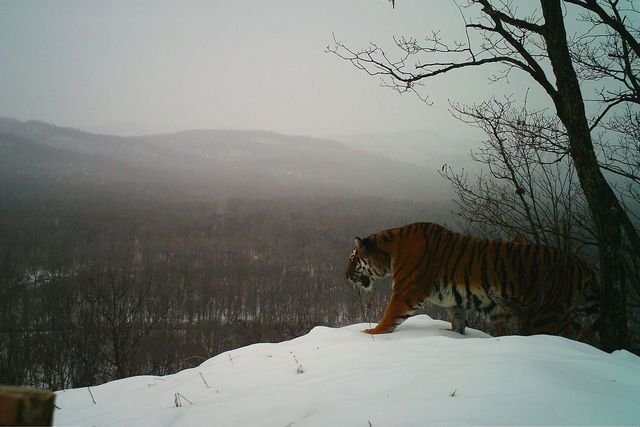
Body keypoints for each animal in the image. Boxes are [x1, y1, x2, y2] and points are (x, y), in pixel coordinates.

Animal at [344, 222, 600, 342]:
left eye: (353, 259)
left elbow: (390, 315)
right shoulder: (453, 301)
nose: (345, 276)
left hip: (546, 312)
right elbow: (458, 322)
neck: (390, 253)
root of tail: (582, 263)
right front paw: (455, 336)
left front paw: (371, 333)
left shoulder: (407, 291)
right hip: (568, 314)